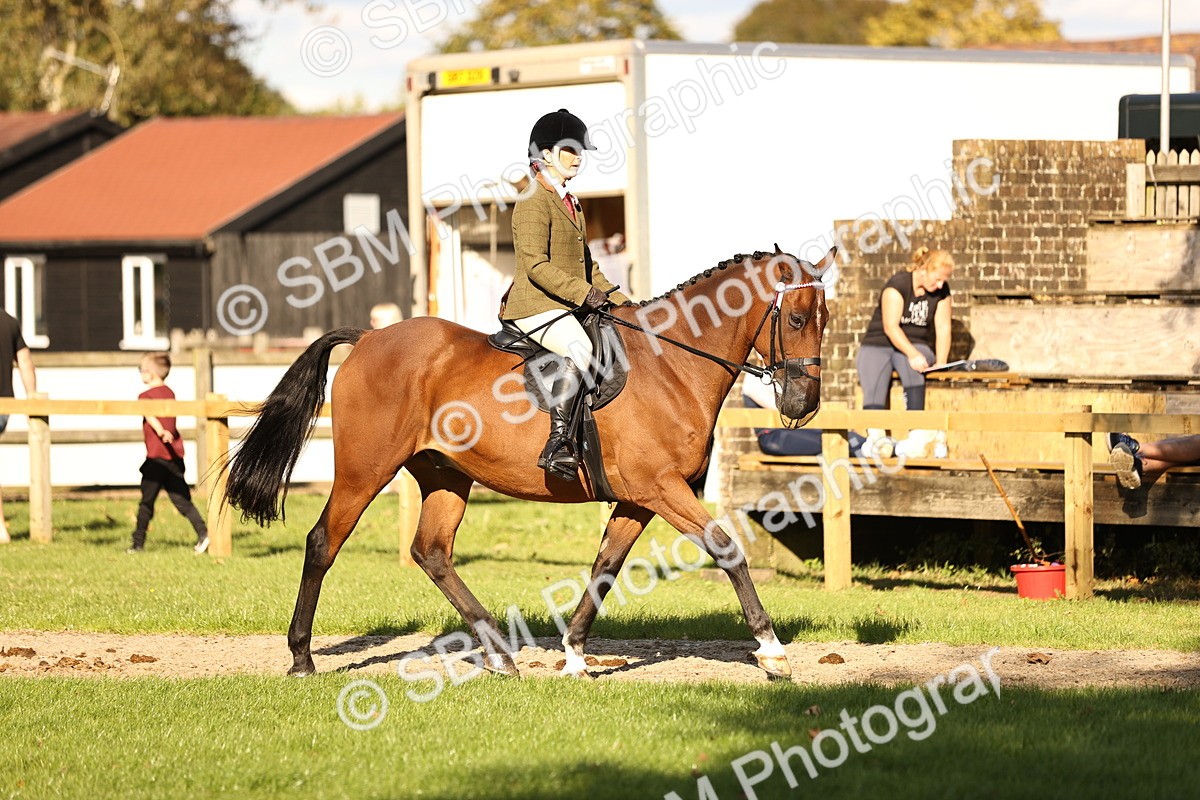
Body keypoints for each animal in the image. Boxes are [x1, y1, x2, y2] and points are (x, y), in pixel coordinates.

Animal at [223, 246, 834, 680]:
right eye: (797, 319)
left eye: (825, 318)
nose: (803, 405)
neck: (672, 365)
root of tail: (371, 337)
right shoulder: (661, 489)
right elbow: (727, 549)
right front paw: (772, 650)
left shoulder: (639, 498)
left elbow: (605, 568)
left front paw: (574, 654)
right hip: (364, 471)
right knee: (323, 542)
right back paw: (302, 658)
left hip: (445, 475)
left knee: (432, 552)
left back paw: (499, 653)